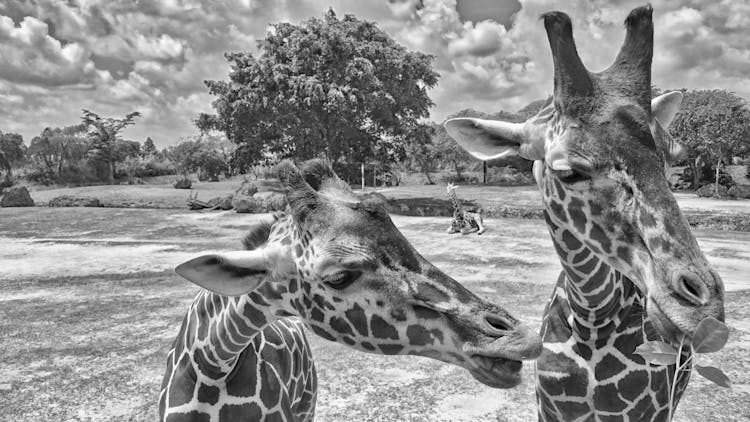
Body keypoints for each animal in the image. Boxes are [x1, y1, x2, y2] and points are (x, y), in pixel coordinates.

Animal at [444, 4, 724, 420]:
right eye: (568, 172)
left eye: (672, 158)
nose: (704, 311)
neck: (592, 315)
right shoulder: (551, 409)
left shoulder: (650, 412)